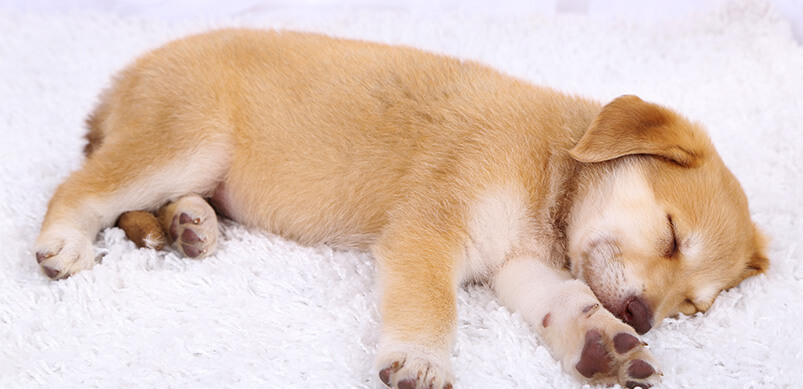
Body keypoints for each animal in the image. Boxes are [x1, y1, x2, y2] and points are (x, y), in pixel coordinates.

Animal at [34, 28, 768, 386]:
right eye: (672, 234)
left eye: (692, 307)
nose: (642, 315)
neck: (553, 173)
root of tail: (124, 79)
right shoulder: (429, 231)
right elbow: (432, 304)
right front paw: (421, 359)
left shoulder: (516, 263)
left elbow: (563, 300)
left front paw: (603, 344)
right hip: (187, 143)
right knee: (83, 188)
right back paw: (65, 240)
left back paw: (193, 223)